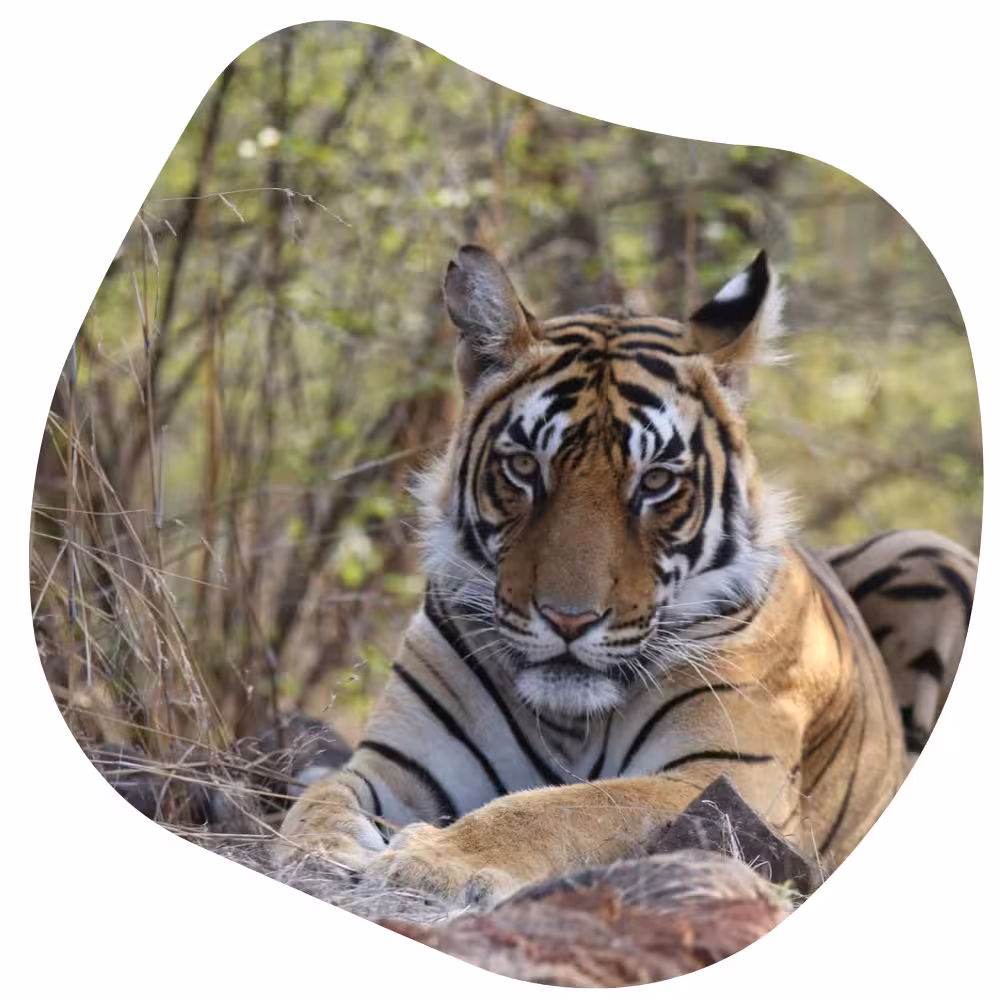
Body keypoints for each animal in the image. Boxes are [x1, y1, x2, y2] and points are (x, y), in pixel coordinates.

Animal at [276, 245, 976, 909]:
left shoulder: (717, 776)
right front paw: (322, 850)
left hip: (930, 549)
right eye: (525, 467)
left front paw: (432, 862)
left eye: (657, 481)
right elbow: (323, 797)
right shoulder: (398, 764)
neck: (570, 720)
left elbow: (566, 807)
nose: (569, 619)